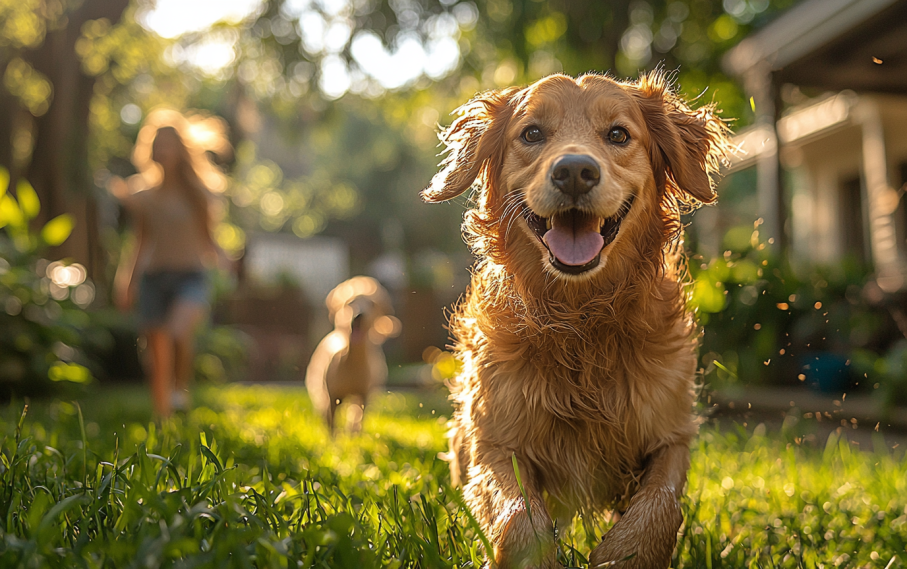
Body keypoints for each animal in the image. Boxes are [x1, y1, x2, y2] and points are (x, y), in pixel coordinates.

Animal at [306, 278, 400, 432]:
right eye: (350, 302)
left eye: (371, 304)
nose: (359, 315)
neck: (352, 362)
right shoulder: (332, 396)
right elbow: (332, 423)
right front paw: (332, 437)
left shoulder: (364, 396)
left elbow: (357, 420)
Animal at [424, 72, 732, 568]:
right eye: (532, 133)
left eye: (619, 135)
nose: (573, 171)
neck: (580, 317)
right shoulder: (493, 441)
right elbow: (518, 518)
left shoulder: (670, 432)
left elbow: (661, 506)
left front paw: (625, 553)